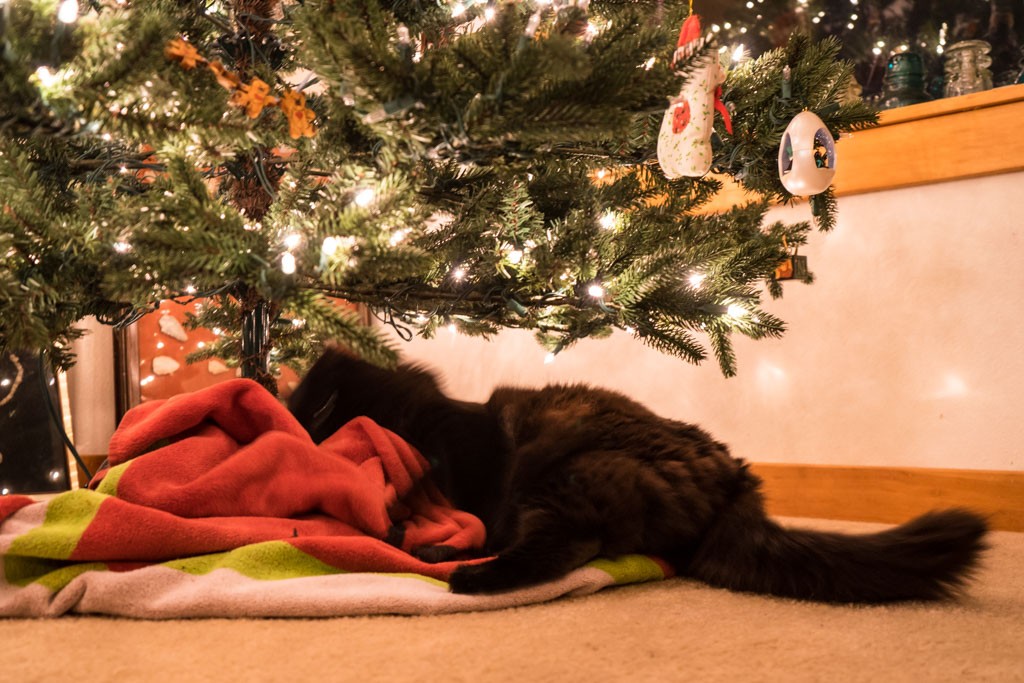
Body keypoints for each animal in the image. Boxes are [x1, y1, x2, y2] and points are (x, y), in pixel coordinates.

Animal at [286, 350, 983, 602]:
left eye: (314, 417)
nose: (295, 427)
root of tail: (738, 477)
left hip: (557, 478)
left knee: (559, 548)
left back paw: (455, 572)